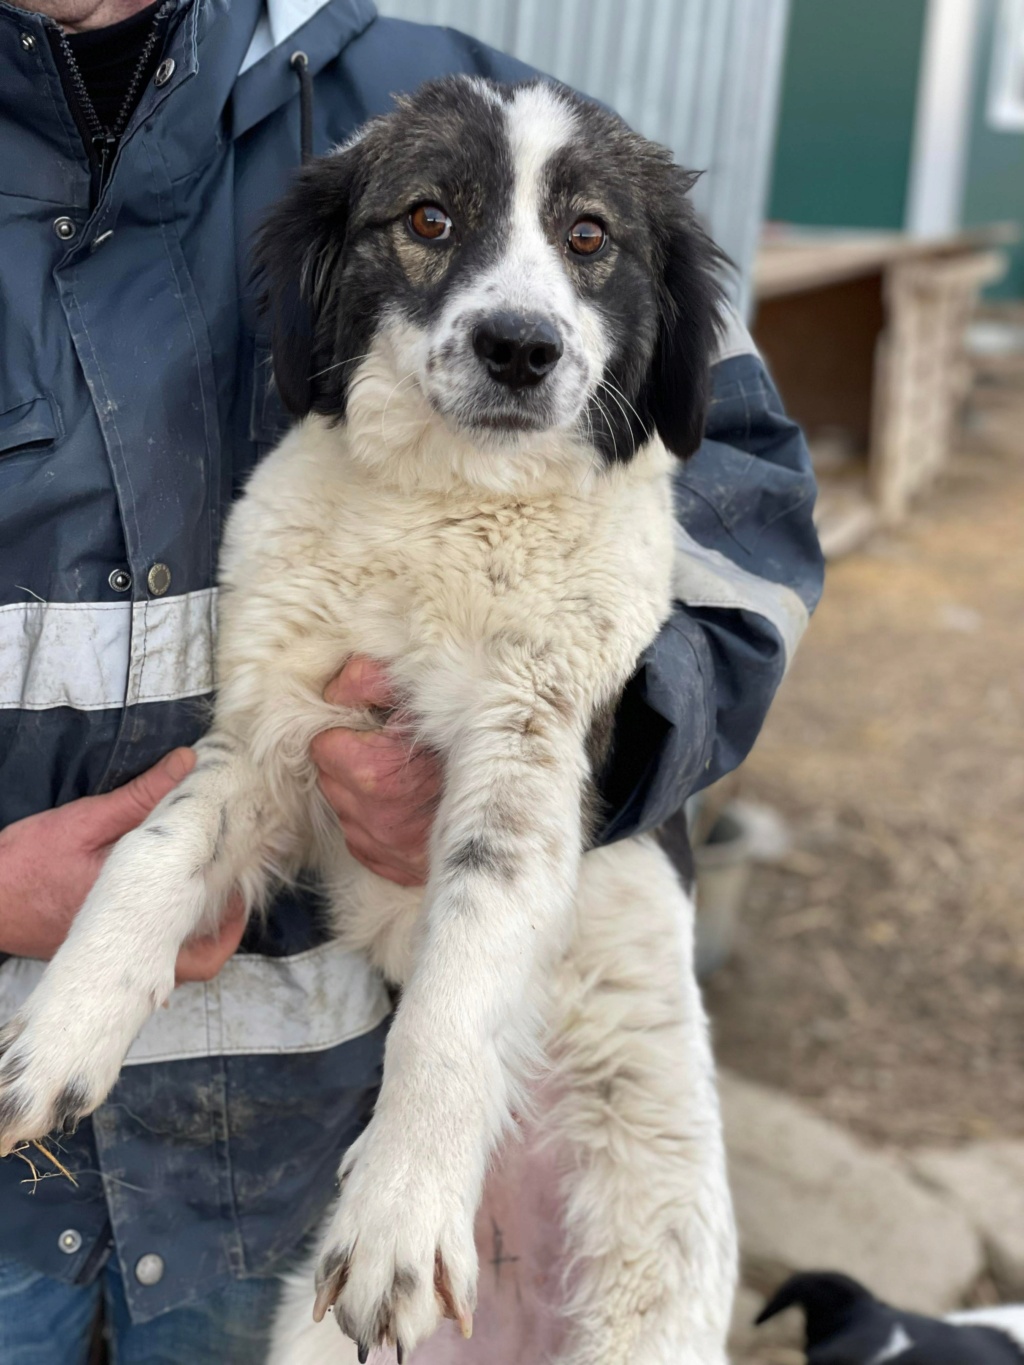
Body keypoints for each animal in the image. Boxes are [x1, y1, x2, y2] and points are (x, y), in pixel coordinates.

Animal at [0, 77, 737, 1365]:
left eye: (589, 237)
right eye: (430, 218)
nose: (520, 348)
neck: (448, 511)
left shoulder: (523, 769)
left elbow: (453, 992)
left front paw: (401, 1210)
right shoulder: (272, 732)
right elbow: (151, 855)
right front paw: (63, 1029)